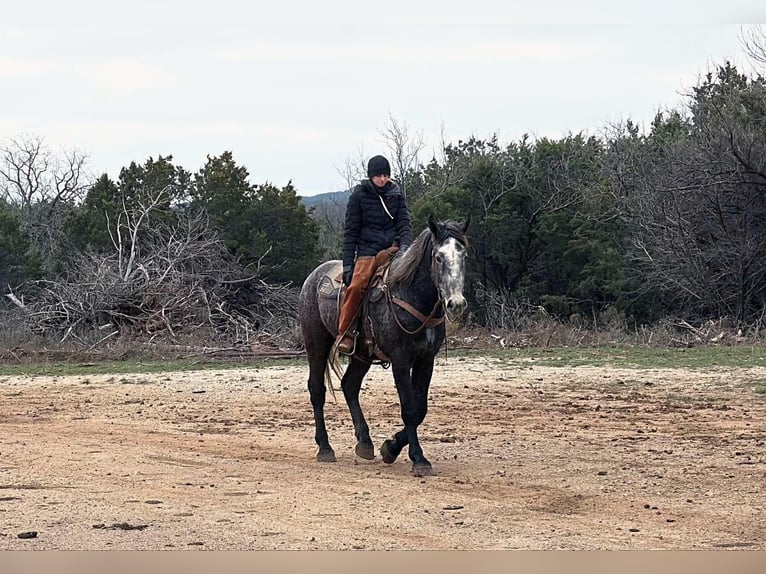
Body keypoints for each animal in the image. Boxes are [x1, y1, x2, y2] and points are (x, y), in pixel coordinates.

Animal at [298, 215, 470, 476]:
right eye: (438, 256)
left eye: (463, 255)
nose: (456, 303)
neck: (410, 295)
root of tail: (313, 277)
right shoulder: (400, 360)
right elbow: (409, 408)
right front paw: (419, 459)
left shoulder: (426, 360)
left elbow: (420, 409)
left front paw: (390, 447)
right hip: (316, 343)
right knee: (317, 389)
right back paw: (325, 448)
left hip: (362, 355)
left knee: (349, 385)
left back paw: (365, 442)